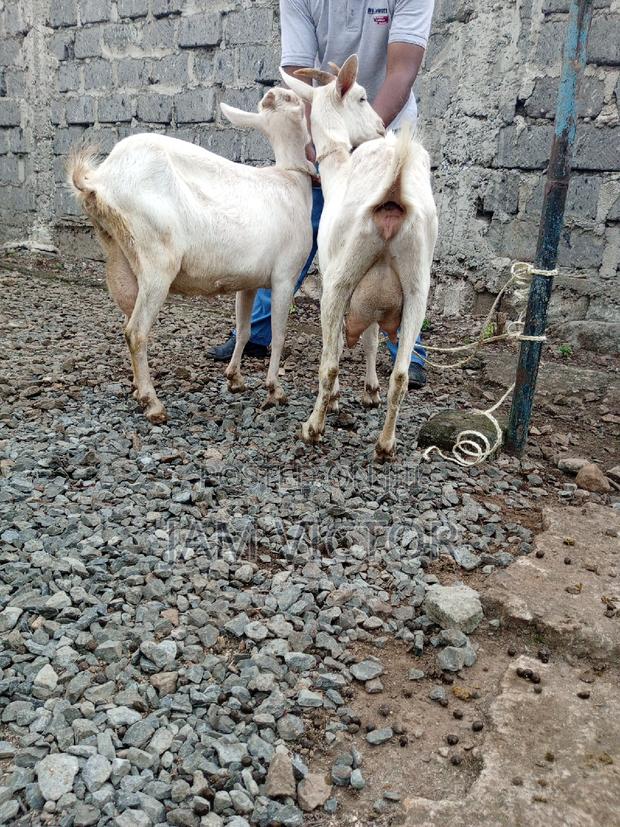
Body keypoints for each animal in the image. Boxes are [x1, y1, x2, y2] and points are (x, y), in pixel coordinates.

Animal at [68, 87, 314, 423]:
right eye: (295, 102)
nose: (273, 93)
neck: (290, 181)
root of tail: (99, 179)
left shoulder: (248, 282)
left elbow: (245, 328)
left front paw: (235, 378)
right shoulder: (285, 277)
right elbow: (278, 334)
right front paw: (275, 391)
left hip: (120, 257)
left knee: (129, 320)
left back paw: (138, 390)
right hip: (157, 261)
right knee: (136, 332)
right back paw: (153, 404)